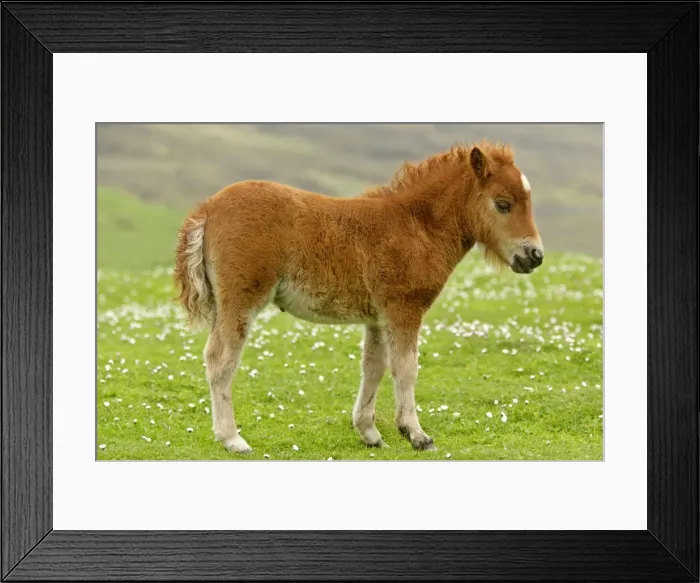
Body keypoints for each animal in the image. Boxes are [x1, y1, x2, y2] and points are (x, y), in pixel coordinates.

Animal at [173, 140, 544, 454]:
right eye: (503, 204)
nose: (535, 256)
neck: (417, 227)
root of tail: (208, 208)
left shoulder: (378, 318)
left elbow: (374, 367)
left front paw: (369, 432)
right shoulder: (404, 310)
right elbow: (406, 368)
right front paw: (416, 434)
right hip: (241, 300)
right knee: (221, 360)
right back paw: (232, 439)